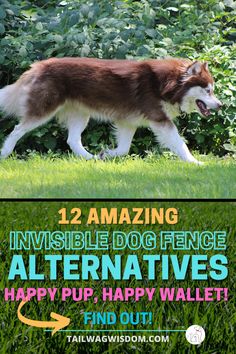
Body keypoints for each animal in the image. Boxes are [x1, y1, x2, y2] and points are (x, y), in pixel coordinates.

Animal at [0, 58, 221, 163]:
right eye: (208, 91)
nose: (221, 105)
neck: (169, 85)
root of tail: (39, 65)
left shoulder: (128, 122)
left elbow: (123, 149)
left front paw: (106, 154)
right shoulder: (160, 120)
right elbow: (180, 144)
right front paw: (195, 163)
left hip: (81, 114)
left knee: (73, 140)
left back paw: (91, 158)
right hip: (44, 109)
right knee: (17, 129)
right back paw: (5, 152)